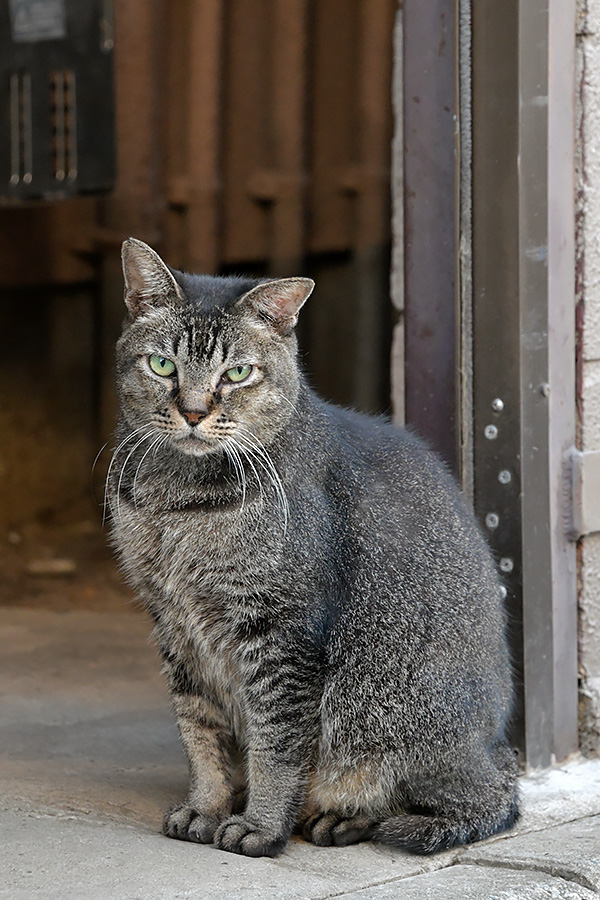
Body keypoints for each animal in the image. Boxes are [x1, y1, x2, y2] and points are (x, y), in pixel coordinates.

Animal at [109, 237, 520, 856]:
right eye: (163, 365)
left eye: (237, 372)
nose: (194, 411)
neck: (177, 501)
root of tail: (495, 747)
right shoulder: (174, 625)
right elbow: (200, 732)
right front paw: (207, 805)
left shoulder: (281, 630)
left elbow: (277, 744)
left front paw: (259, 825)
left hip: (396, 716)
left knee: (479, 803)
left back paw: (343, 818)